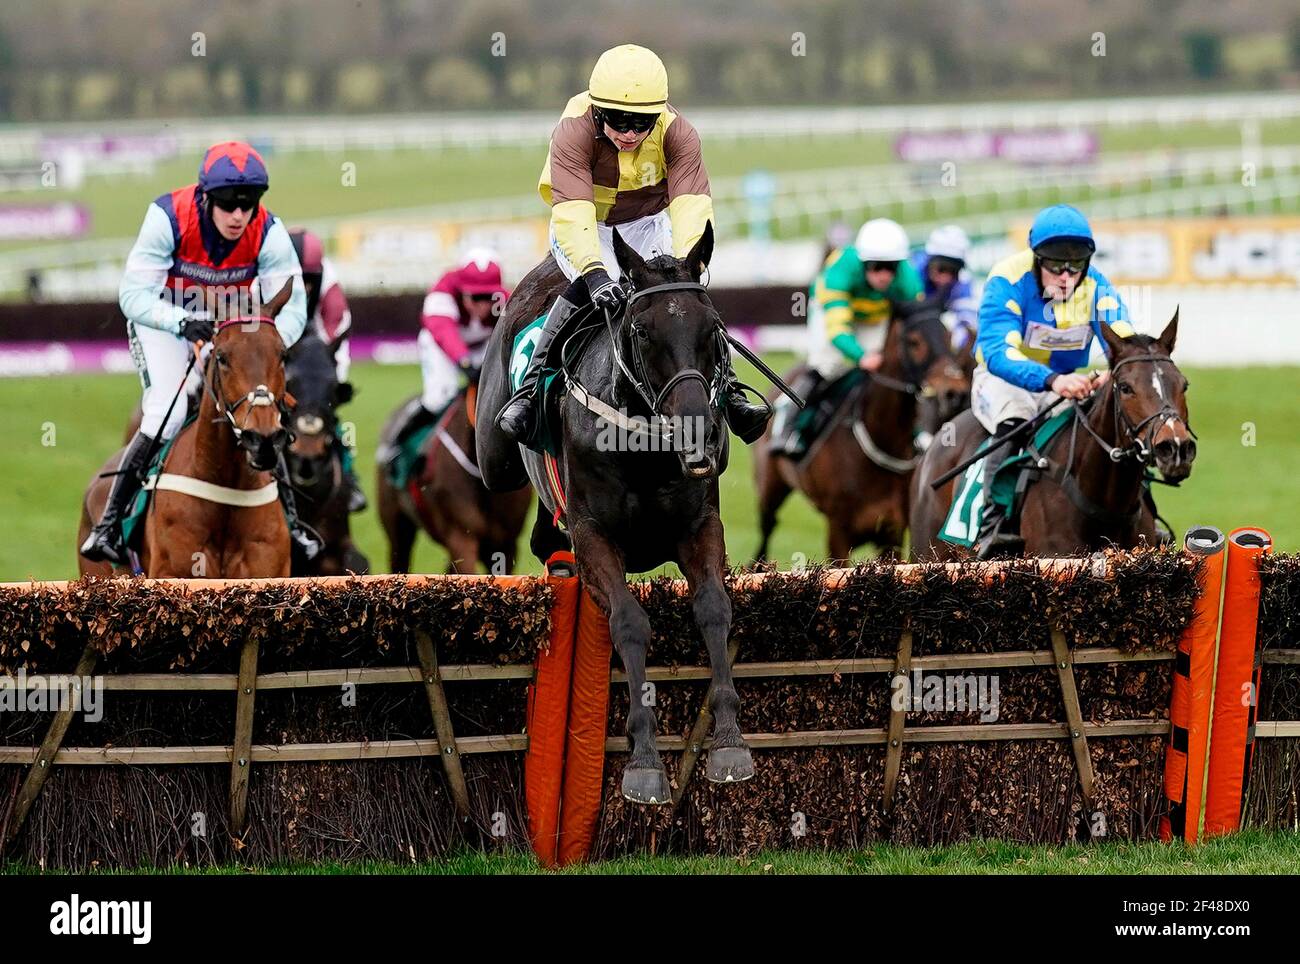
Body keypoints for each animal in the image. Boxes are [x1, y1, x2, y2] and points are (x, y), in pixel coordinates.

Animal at [478, 222, 748, 805]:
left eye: (714, 330)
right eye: (642, 332)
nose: (699, 433)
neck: (642, 448)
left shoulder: (700, 526)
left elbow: (713, 608)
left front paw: (729, 743)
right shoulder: (595, 536)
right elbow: (628, 621)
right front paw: (644, 761)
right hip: (495, 457)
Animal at [748, 301, 972, 566]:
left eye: (949, 337)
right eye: (914, 341)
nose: (954, 393)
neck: (883, 441)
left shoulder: (892, 531)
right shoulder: (838, 530)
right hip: (769, 488)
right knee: (767, 529)